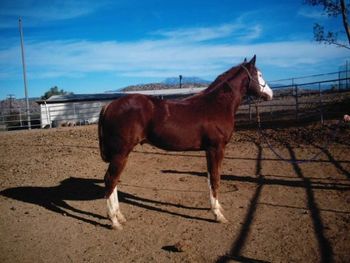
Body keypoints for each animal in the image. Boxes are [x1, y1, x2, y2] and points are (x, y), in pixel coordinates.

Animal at [98, 55, 274, 229]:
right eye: (259, 74)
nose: (270, 94)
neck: (216, 105)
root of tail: (110, 105)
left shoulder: (210, 150)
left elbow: (211, 178)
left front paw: (217, 208)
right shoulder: (216, 148)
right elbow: (215, 179)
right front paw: (218, 215)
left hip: (120, 154)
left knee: (114, 181)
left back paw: (119, 216)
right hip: (121, 152)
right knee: (110, 179)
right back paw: (114, 221)